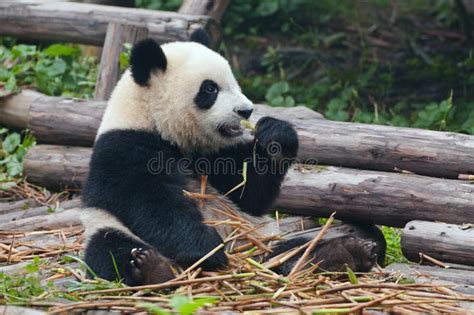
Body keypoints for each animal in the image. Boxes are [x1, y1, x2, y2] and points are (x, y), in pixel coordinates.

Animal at [81, 30, 386, 286]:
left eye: (233, 82)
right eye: (210, 89)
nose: (246, 111)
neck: (161, 126)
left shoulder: (216, 154)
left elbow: (249, 194)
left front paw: (276, 137)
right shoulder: (123, 147)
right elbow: (150, 201)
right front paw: (206, 248)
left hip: (259, 240)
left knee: (295, 248)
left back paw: (342, 252)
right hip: (106, 227)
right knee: (110, 248)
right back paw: (151, 268)